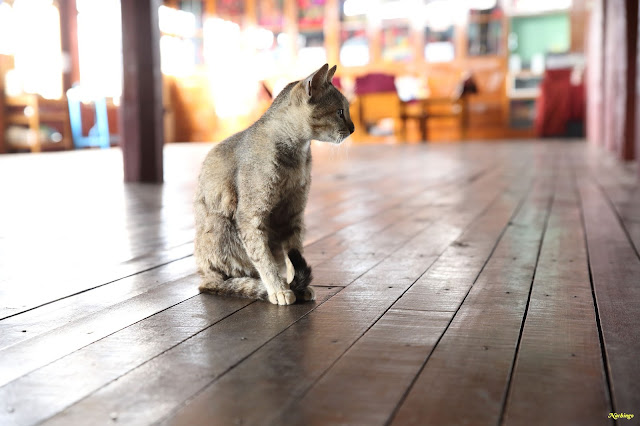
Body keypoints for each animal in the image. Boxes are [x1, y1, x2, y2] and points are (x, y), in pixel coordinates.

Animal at [194, 63, 356, 304]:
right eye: (339, 112)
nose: (353, 128)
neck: (296, 153)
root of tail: (203, 276)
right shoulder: (250, 217)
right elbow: (264, 259)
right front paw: (279, 289)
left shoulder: (292, 214)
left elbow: (293, 253)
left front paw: (294, 285)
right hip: (222, 225)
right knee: (221, 281)